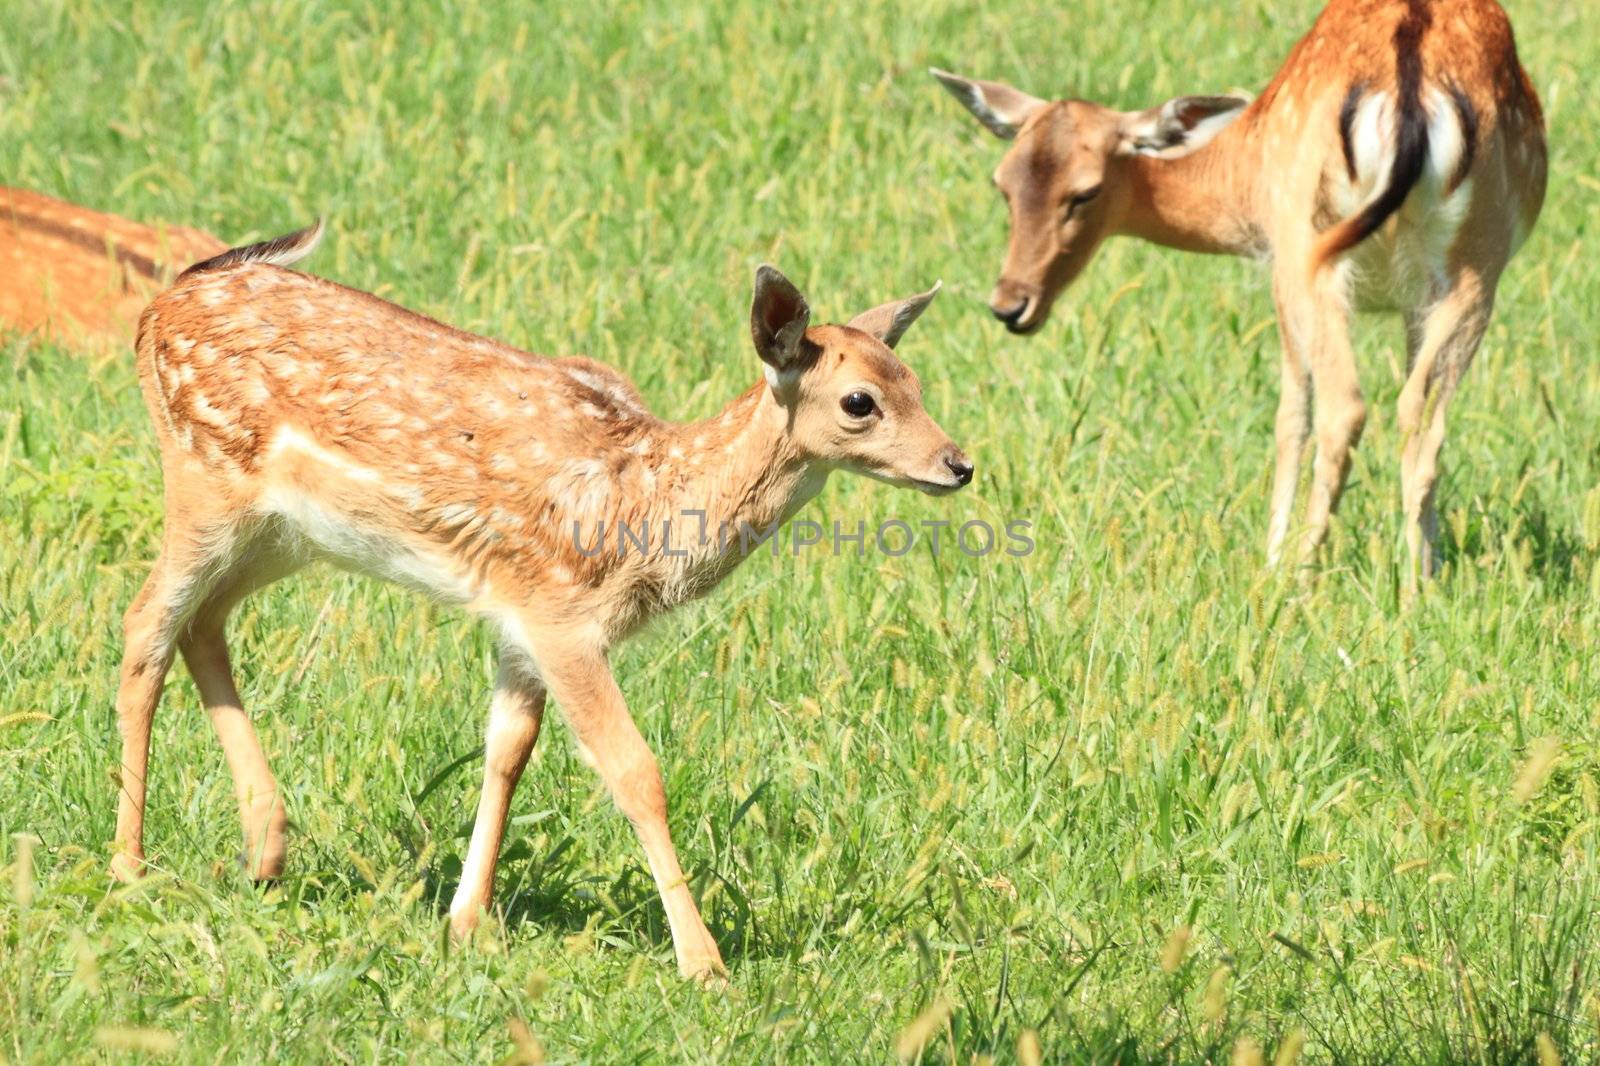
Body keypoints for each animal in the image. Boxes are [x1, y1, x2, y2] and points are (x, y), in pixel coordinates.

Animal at [109, 224, 972, 979]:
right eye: (860, 401)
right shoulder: (563, 619)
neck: (648, 508)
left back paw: (266, 848)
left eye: (917, 384)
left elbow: (508, 750)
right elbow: (634, 771)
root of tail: (159, 308)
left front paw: (465, 920)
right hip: (204, 476)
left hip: (285, 532)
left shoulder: (518, 615)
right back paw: (129, 866)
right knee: (146, 623)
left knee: (204, 623)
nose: (958, 464)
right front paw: (704, 964)